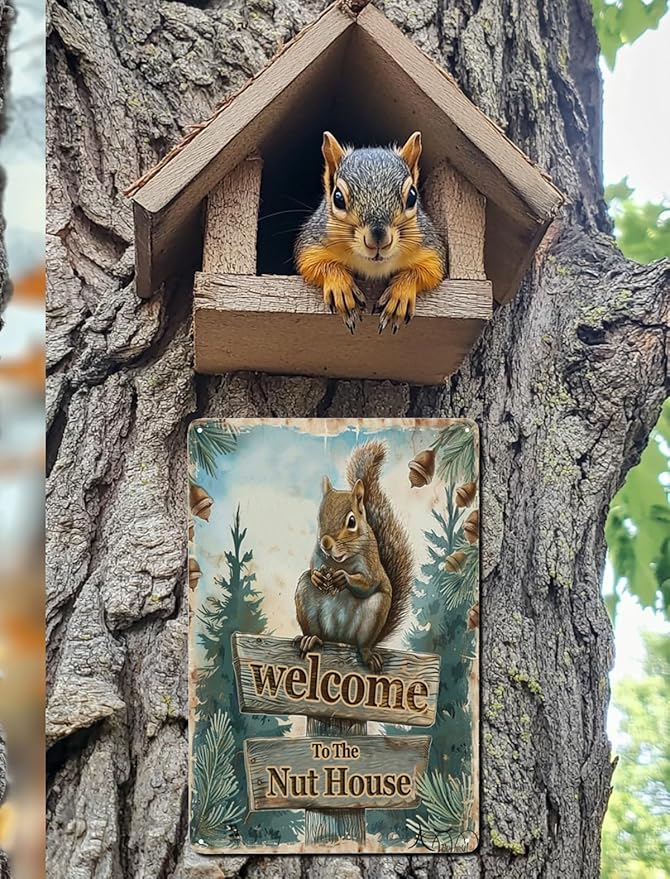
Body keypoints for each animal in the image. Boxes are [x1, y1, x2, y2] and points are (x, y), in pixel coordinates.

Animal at [294, 130, 446, 335]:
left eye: (412, 196)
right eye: (338, 198)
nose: (378, 240)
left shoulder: (429, 244)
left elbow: (431, 270)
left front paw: (400, 295)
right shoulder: (313, 239)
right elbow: (311, 262)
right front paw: (341, 287)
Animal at [294, 441, 414, 672]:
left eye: (351, 521)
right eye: (319, 517)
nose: (325, 543)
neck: (340, 560)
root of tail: (339, 640)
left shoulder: (371, 561)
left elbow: (368, 582)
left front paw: (344, 579)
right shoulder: (317, 556)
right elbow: (312, 567)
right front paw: (317, 576)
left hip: (374, 613)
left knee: (363, 644)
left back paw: (367, 655)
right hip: (305, 597)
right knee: (316, 629)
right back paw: (310, 639)